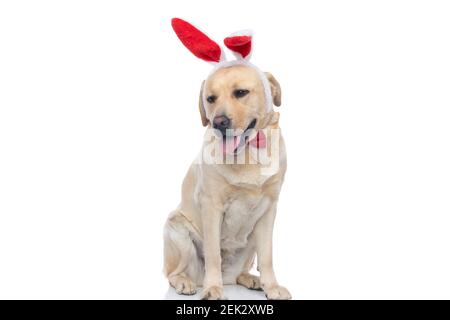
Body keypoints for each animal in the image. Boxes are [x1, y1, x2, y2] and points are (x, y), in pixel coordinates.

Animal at [163, 20, 290, 300]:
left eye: (241, 93)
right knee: (173, 272)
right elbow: (212, 254)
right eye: (210, 99)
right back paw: (187, 282)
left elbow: (267, 256)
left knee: (242, 269)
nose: (218, 122)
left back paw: (251, 279)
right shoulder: (211, 206)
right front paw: (213, 288)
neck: (248, 153)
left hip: (250, 240)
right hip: (177, 229)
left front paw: (272, 286)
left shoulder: (269, 209)